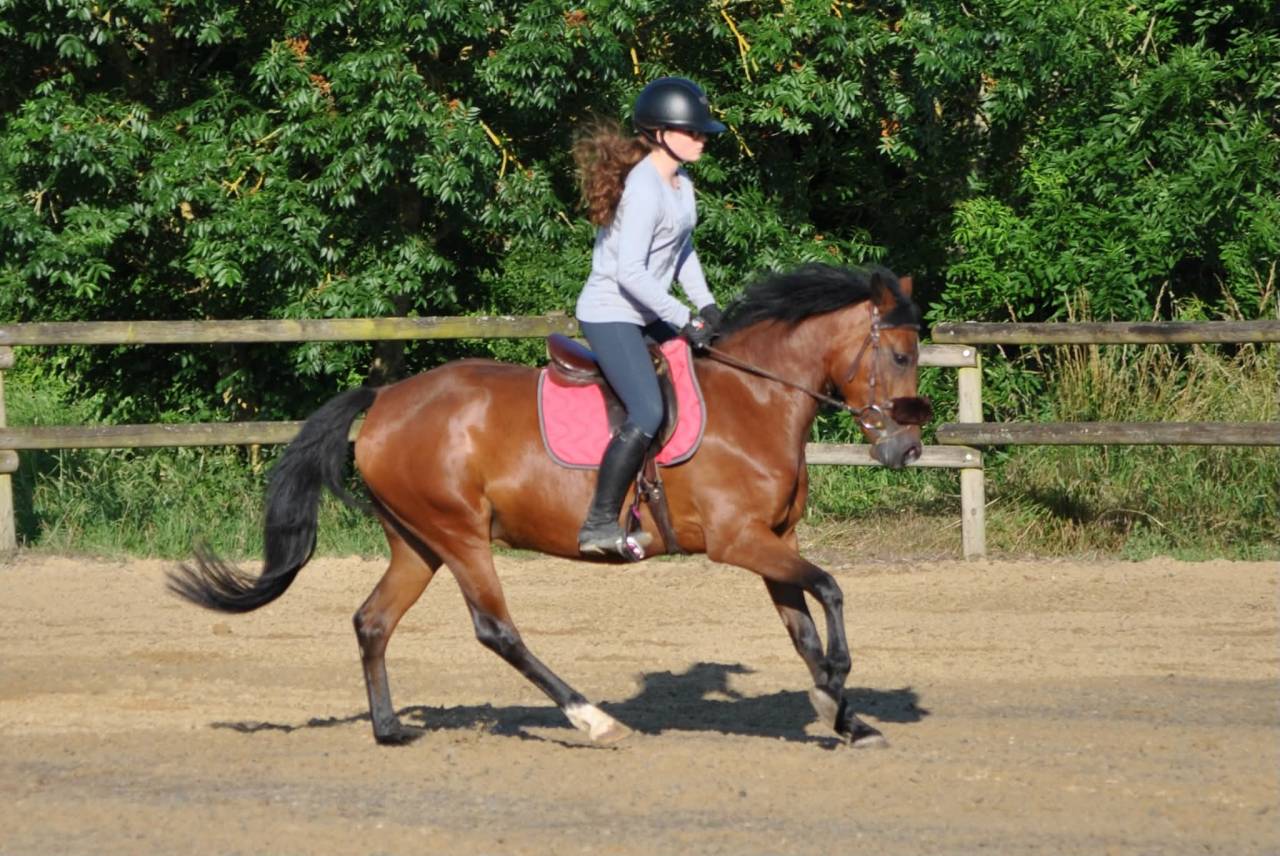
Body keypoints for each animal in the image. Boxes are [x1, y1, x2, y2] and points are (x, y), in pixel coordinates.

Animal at [169, 263, 931, 748]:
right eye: (899, 355)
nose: (908, 450)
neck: (757, 398)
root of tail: (384, 399)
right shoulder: (737, 540)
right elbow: (830, 590)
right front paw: (835, 690)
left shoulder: (774, 539)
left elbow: (802, 625)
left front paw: (842, 714)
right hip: (460, 535)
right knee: (496, 630)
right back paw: (591, 719)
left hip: (417, 543)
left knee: (373, 621)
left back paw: (389, 730)